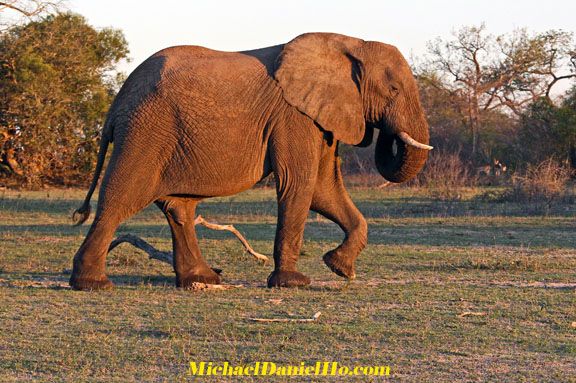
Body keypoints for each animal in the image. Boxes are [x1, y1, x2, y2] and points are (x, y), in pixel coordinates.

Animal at [68, 33, 432, 292]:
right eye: (393, 89)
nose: (385, 133)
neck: (349, 43)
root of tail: (117, 102)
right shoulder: (293, 116)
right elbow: (300, 184)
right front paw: (294, 283)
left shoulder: (321, 120)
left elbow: (323, 189)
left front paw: (339, 267)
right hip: (146, 131)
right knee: (122, 197)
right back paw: (93, 284)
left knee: (179, 207)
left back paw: (203, 280)